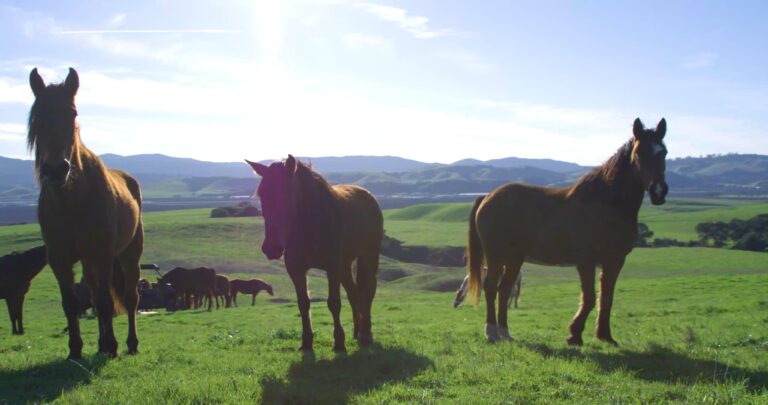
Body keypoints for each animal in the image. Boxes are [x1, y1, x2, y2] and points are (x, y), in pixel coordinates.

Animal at [27, 68, 144, 356]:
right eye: (37, 115)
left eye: (73, 113)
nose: (56, 169)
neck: (71, 203)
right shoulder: (59, 259)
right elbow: (71, 303)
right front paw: (75, 350)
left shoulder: (103, 255)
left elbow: (105, 302)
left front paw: (112, 346)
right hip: (88, 261)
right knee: (92, 293)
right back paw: (101, 343)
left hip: (128, 253)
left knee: (129, 297)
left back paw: (130, 343)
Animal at [248, 155, 382, 350]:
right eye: (262, 195)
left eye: (286, 194)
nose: (271, 248)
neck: (311, 225)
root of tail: (368, 195)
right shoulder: (296, 270)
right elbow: (304, 304)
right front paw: (306, 342)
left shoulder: (332, 267)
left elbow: (334, 303)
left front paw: (339, 342)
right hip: (344, 265)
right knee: (353, 293)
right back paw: (356, 331)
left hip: (368, 255)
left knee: (367, 290)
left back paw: (365, 333)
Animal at [464, 117, 668, 344]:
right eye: (639, 152)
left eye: (663, 152)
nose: (658, 191)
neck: (606, 204)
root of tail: (488, 197)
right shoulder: (586, 261)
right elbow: (589, 298)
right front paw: (574, 334)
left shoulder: (614, 261)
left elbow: (606, 298)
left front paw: (605, 336)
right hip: (496, 255)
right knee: (491, 288)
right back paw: (492, 332)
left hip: (514, 258)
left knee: (504, 289)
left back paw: (505, 333)